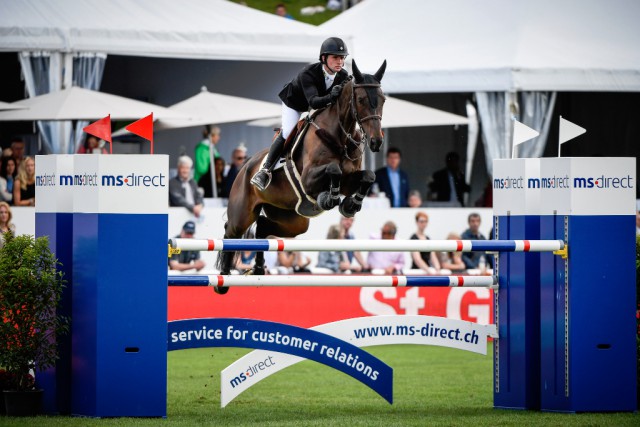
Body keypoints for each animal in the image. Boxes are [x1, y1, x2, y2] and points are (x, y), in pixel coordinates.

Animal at [215, 59, 388, 294]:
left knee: (262, 227)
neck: (340, 137)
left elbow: (368, 176)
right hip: (243, 212)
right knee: (231, 233)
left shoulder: (350, 179)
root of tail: (245, 166)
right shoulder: (308, 179)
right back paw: (223, 279)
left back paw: (258, 269)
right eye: (360, 100)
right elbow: (333, 169)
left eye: (383, 100)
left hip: (292, 220)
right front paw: (329, 198)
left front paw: (350, 204)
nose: (376, 142)